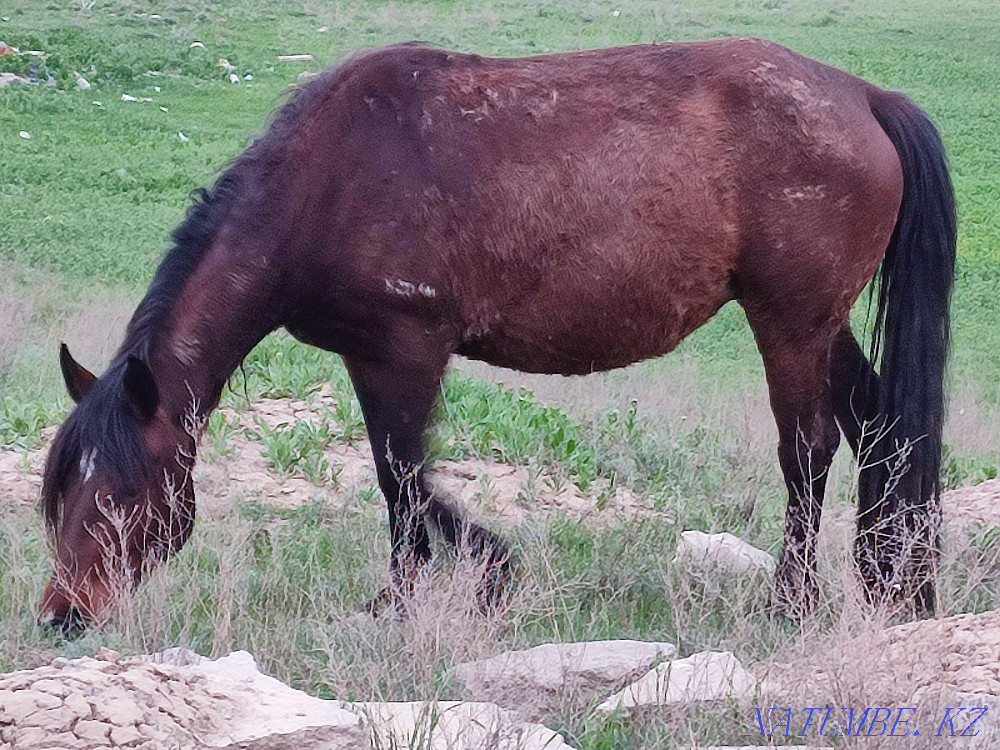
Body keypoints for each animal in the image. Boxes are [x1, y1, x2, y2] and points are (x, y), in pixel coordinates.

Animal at [38, 37, 955, 632]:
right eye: (61, 495)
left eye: (125, 495)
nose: (61, 616)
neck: (326, 179)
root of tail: (865, 98)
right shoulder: (369, 355)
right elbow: (399, 483)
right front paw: (416, 597)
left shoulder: (407, 349)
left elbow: (404, 476)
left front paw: (457, 584)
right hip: (819, 324)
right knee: (880, 429)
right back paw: (894, 585)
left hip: (790, 322)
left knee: (808, 450)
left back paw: (792, 604)